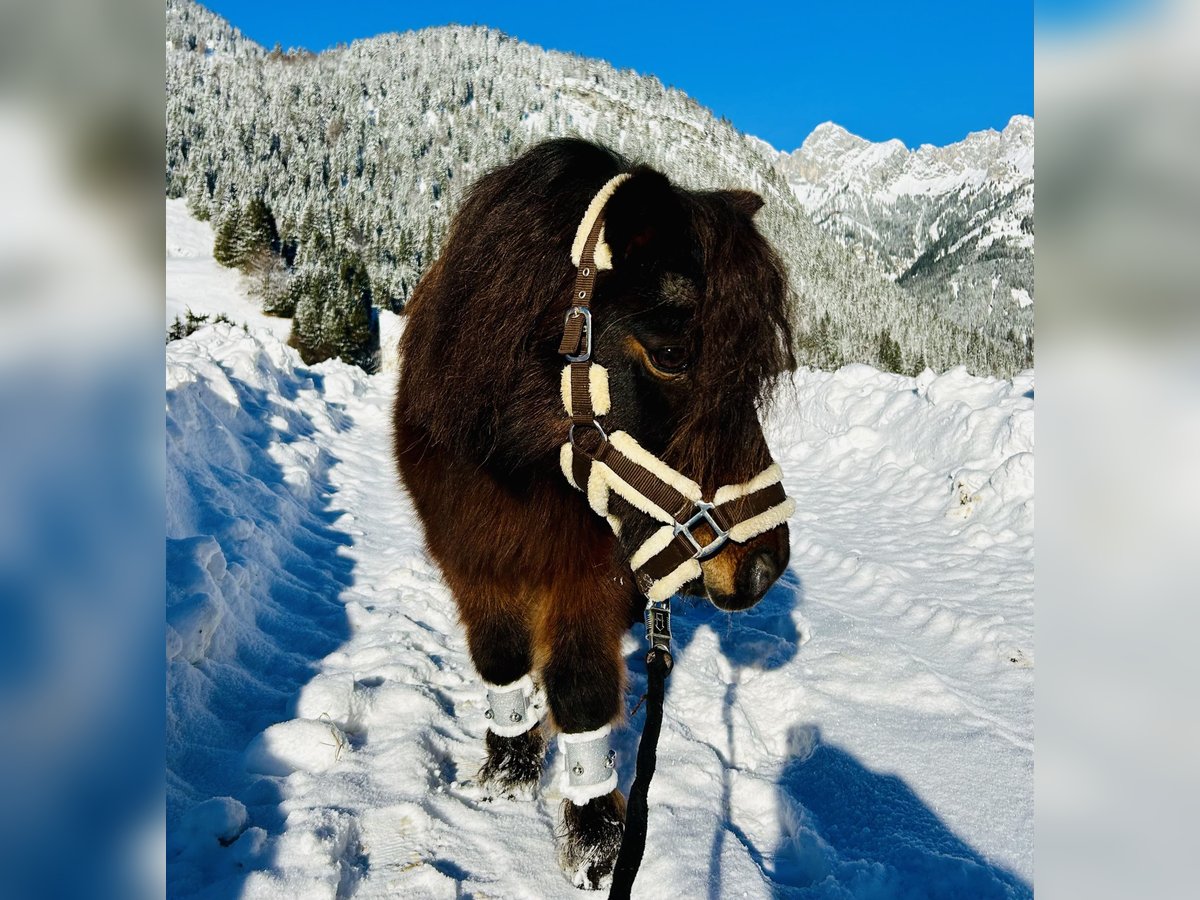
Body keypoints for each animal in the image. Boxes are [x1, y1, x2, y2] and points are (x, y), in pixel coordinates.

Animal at [388, 137, 792, 892]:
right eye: (671, 355)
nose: (762, 570)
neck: (518, 460)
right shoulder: (471, 554)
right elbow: (502, 661)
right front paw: (510, 768)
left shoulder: (586, 578)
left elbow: (579, 691)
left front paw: (595, 840)